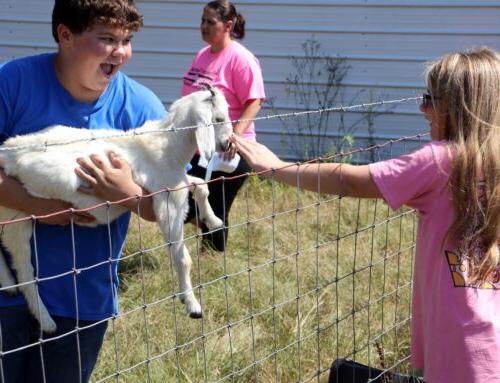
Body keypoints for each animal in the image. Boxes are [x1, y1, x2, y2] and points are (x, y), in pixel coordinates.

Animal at [0, 87, 232, 332]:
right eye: (218, 119)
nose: (228, 145)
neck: (167, 147)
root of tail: (7, 154)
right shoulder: (168, 203)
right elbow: (183, 258)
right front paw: (191, 303)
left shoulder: (178, 183)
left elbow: (201, 185)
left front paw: (214, 221)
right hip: (17, 213)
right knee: (25, 269)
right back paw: (46, 321)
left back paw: (8, 285)